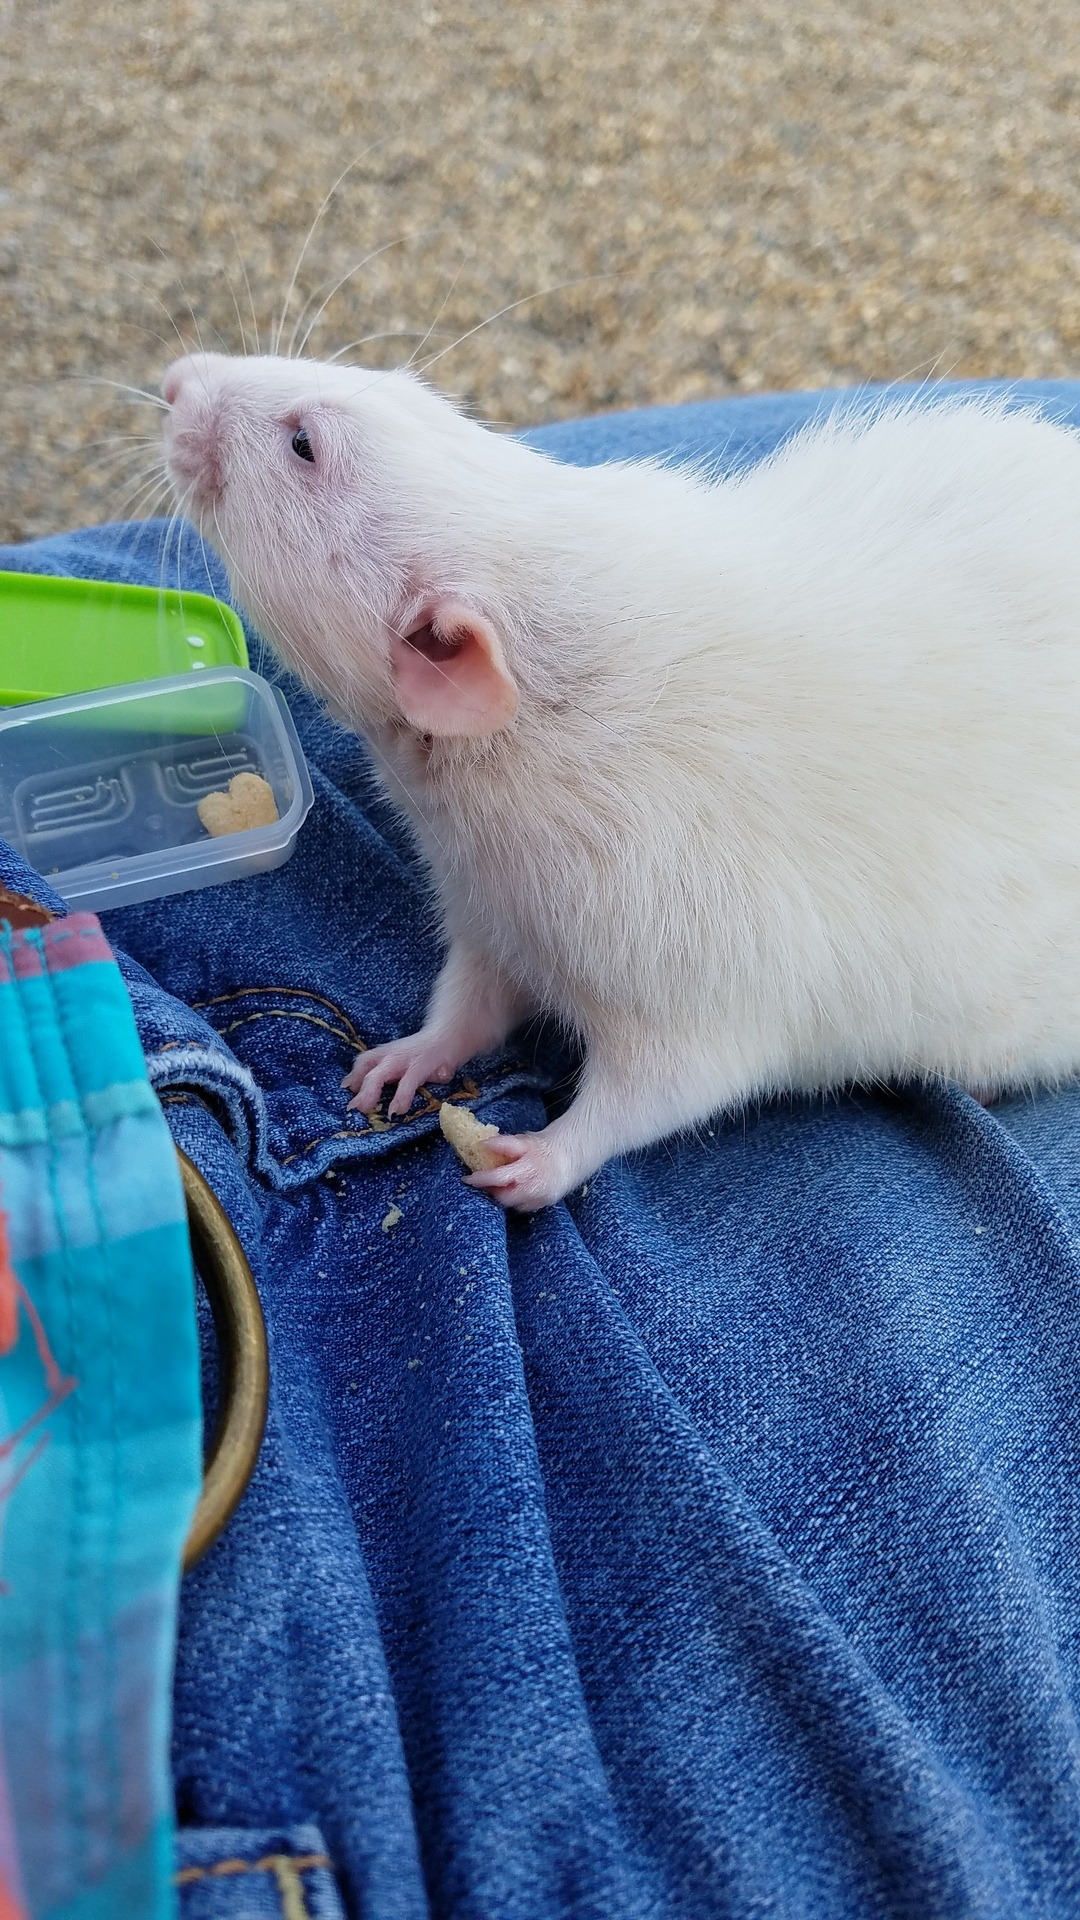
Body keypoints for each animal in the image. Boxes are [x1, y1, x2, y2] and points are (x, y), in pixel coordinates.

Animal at [162, 350, 1080, 1209]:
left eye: (304, 446)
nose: (178, 380)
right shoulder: (495, 907)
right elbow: (475, 992)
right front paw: (420, 1052)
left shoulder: (692, 946)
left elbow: (678, 1081)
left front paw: (547, 1156)